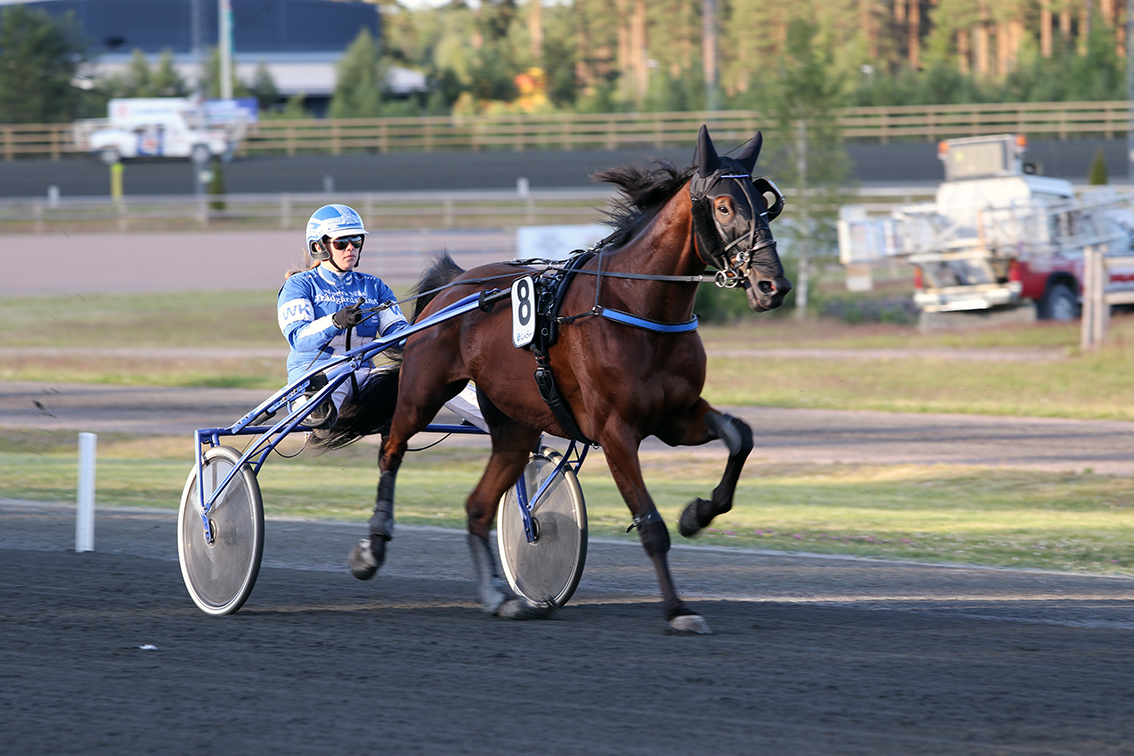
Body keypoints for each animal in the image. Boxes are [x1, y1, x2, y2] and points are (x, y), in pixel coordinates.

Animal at [321, 125, 791, 634]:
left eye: (765, 204)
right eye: (724, 206)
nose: (773, 286)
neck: (636, 304)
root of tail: (455, 285)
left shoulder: (676, 416)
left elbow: (740, 436)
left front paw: (696, 514)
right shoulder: (616, 430)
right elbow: (650, 524)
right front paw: (678, 610)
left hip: (514, 425)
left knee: (478, 505)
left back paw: (499, 596)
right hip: (422, 392)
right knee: (391, 447)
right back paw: (372, 549)